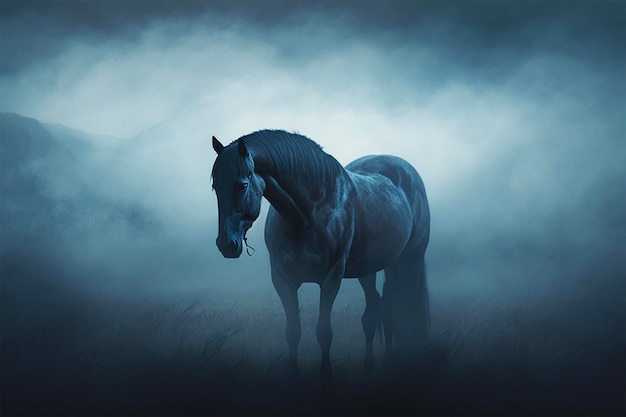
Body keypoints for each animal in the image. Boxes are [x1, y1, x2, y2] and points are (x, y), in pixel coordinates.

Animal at [211, 130, 428, 380]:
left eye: (242, 185)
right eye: (216, 187)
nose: (226, 244)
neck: (306, 215)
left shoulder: (331, 278)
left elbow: (324, 332)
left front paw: (325, 374)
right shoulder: (283, 280)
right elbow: (293, 331)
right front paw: (293, 373)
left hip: (407, 260)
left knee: (396, 309)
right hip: (369, 268)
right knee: (374, 311)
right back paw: (370, 365)